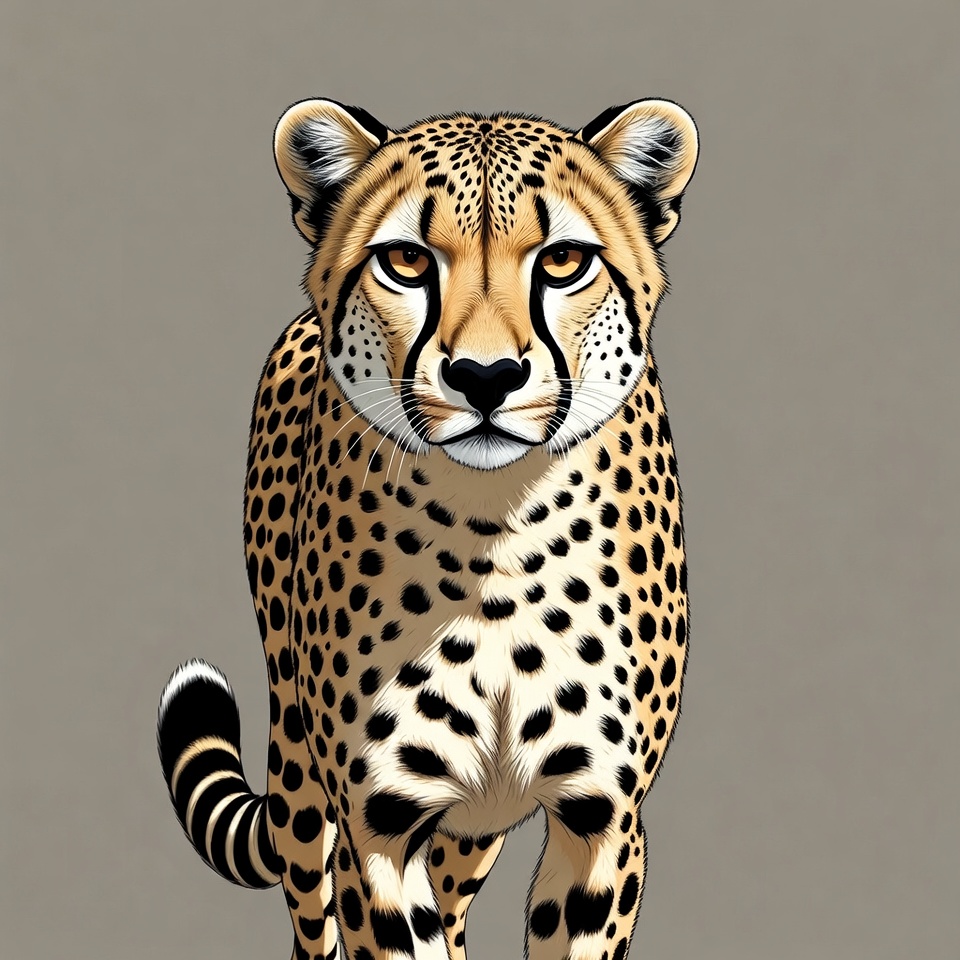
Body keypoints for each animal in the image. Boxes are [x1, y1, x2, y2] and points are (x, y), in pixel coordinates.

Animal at [157, 95, 698, 960]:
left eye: (562, 260)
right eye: (407, 262)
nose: (486, 376)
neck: (499, 530)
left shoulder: (602, 819)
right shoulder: (378, 822)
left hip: (475, 820)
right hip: (301, 768)